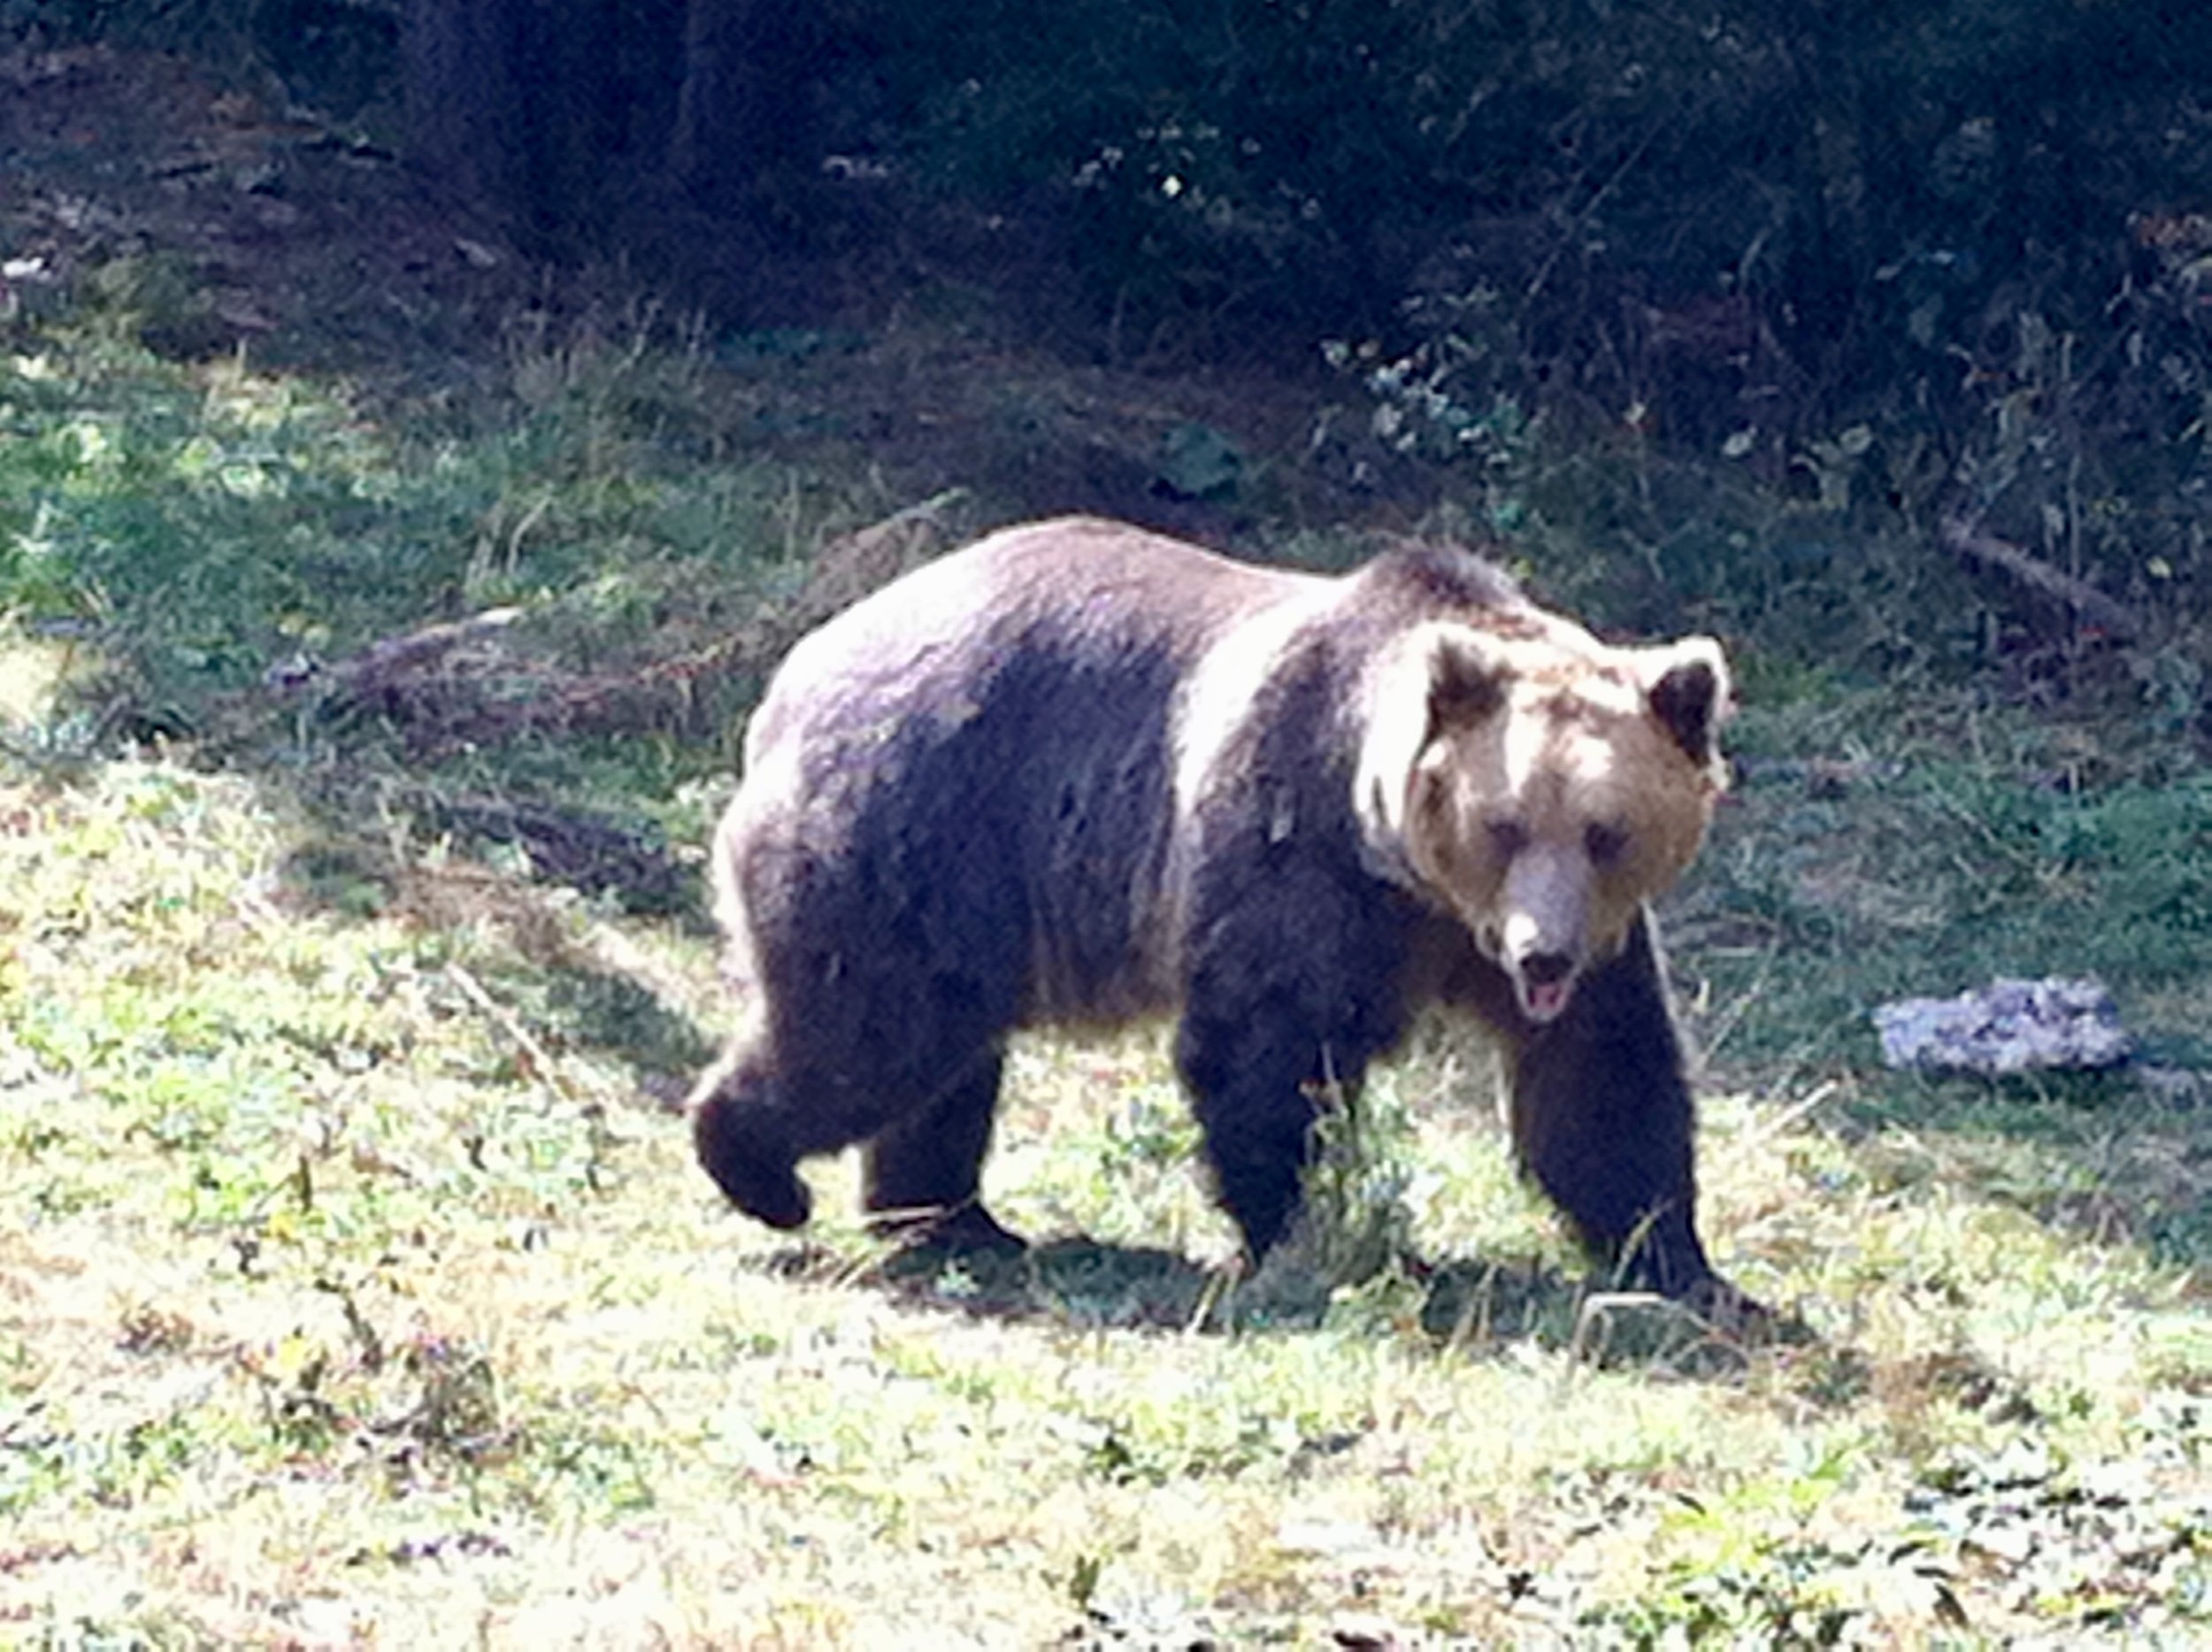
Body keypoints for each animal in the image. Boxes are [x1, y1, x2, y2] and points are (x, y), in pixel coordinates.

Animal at [690, 517, 1761, 1318]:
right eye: (1503, 822)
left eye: (1605, 830)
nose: (1542, 955)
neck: (1416, 877)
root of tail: (796, 673)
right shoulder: (1301, 848)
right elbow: (1265, 1046)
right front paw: (1305, 1233)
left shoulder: (1549, 939)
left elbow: (1602, 1079)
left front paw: (1686, 1264)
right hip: (923, 820)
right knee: (874, 1028)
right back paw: (759, 1168)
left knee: (944, 1055)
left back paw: (953, 1219)